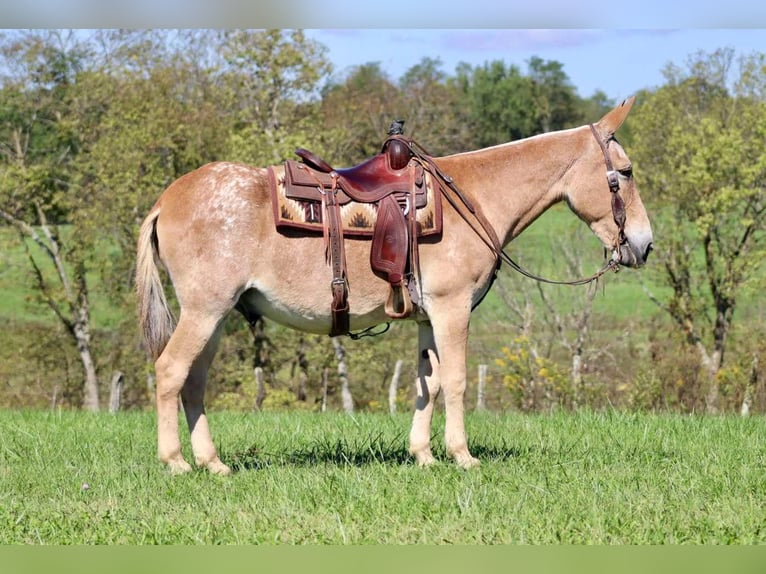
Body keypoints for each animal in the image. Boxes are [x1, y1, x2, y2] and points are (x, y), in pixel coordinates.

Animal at [136, 96, 653, 475]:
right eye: (626, 173)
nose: (644, 244)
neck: (475, 197)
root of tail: (167, 198)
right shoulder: (452, 309)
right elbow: (457, 380)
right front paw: (462, 456)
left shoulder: (428, 317)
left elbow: (430, 383)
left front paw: (423, 454)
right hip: (205, 310)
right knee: (170, 372)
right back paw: (176, 462)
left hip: (216, 316)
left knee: (193, 381)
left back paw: (212, 462)